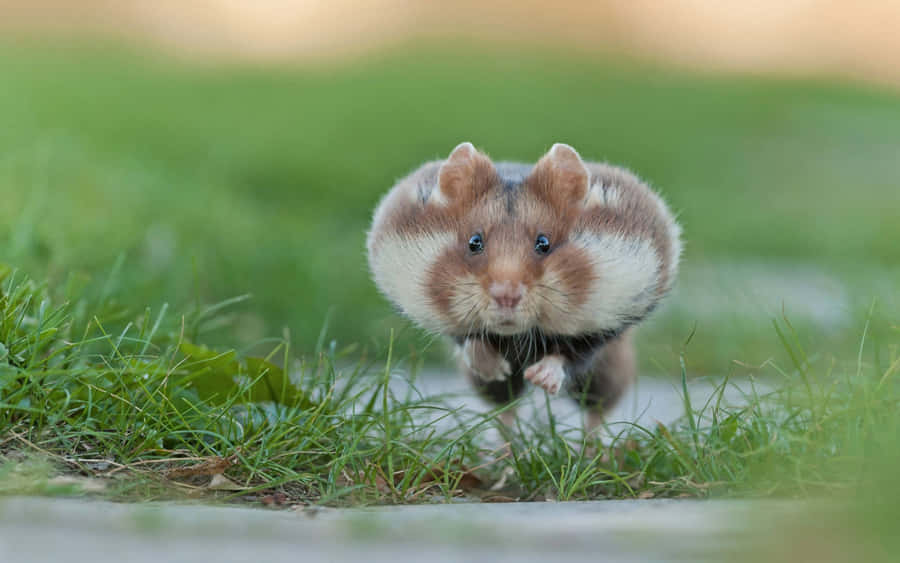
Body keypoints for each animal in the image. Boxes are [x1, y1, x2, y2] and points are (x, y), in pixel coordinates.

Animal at [366, 142, 684, 432]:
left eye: (543, 243)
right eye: (474, 241)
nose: (506, 296)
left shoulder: (603, 328)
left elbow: (569, 355)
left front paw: (540, 378)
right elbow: (470, 341)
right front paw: (496, 368)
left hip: (609, 370)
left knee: (597, 410)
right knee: (505, 407)